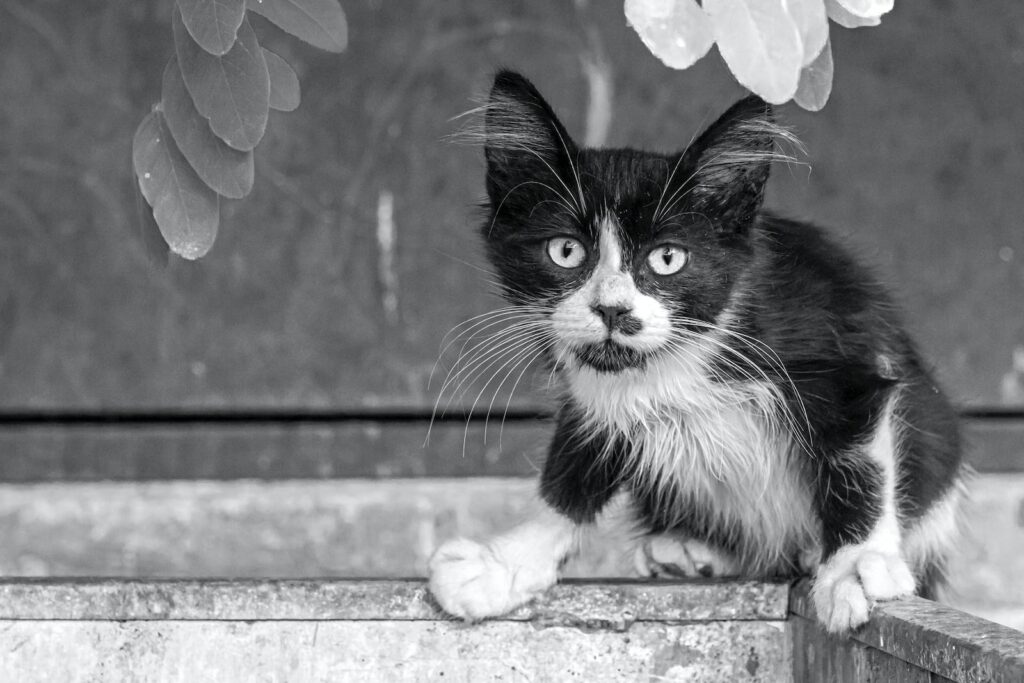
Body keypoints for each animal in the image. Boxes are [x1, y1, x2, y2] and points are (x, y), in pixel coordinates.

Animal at [425, 72, 966, 634]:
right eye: (566, 251)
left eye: (668, 258)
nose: (612, 309)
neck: (680, 359)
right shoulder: (596, 391)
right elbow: (574, 468)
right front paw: (507, 562)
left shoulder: (844, 349)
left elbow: (860, 459)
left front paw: (856, 564)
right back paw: (689, 550)